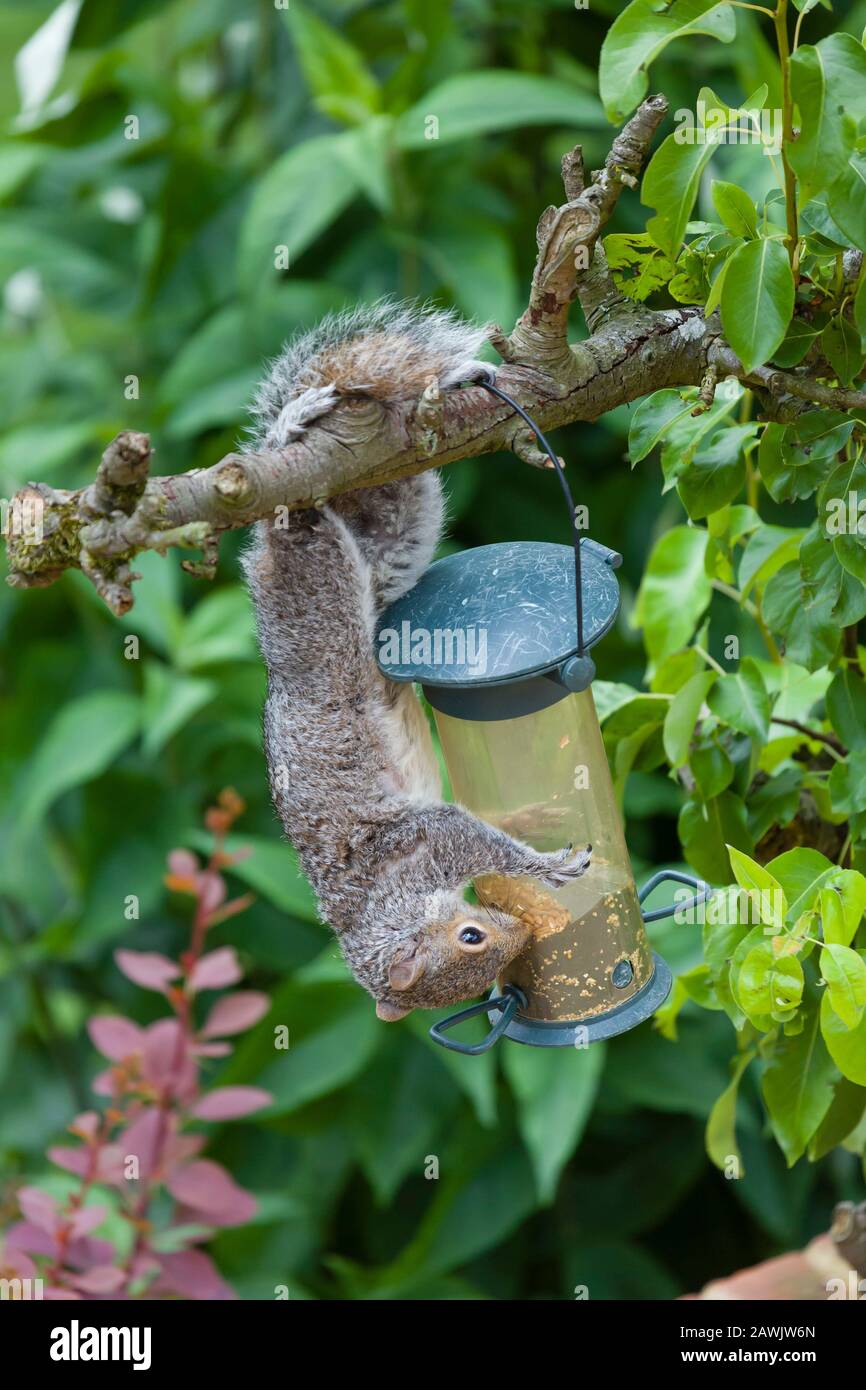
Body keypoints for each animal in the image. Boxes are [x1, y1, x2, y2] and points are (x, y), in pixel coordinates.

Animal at [242, 299, 592, 1021]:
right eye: (475, 945)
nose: (520, 937)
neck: (383, 911)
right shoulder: (430, 841)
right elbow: (482, 831)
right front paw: (538, 843)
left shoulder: (423, 842)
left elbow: (476, 835)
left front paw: (542, 856)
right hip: (372, 560)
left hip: (326, 588)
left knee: (302, 510)